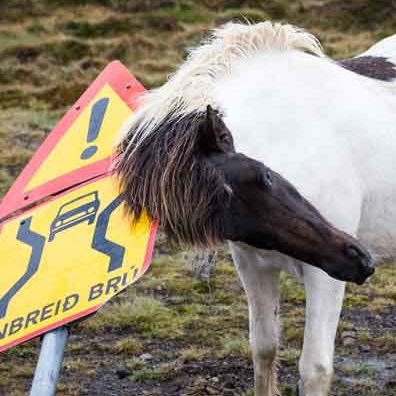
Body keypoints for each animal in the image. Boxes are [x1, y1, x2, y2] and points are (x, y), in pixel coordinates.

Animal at [113, 22, 394, 396]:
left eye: (265, 175)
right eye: (222, 219)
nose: (357, 258)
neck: (287, 132)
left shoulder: (324, 276)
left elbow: (314, 368)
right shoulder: (253, 265)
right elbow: (264, 349)